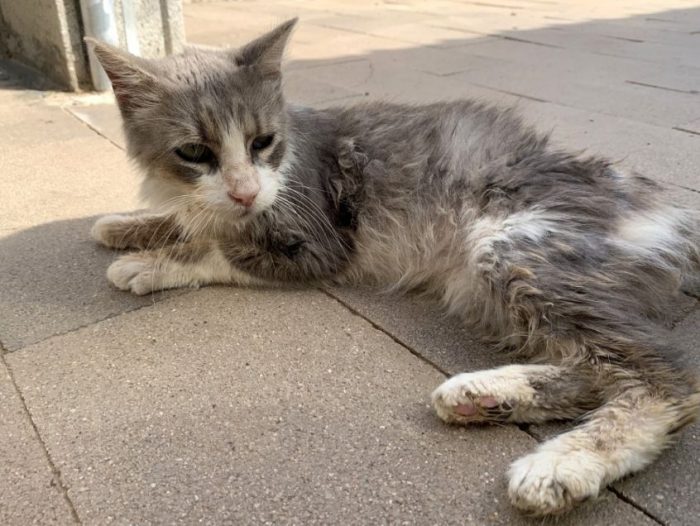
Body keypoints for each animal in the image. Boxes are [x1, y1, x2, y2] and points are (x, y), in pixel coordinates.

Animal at [87, 19, 700, 516]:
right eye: (194, 152)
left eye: (263, 141)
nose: (244, 191)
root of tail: (662, 206)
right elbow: (188, 220)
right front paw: (125, 224)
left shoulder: (317, 245)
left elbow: (219, 249)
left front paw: (148, 264)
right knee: (594, 368)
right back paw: (483, 395)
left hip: (510, 250)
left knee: (667, 373)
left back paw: (560, 465)